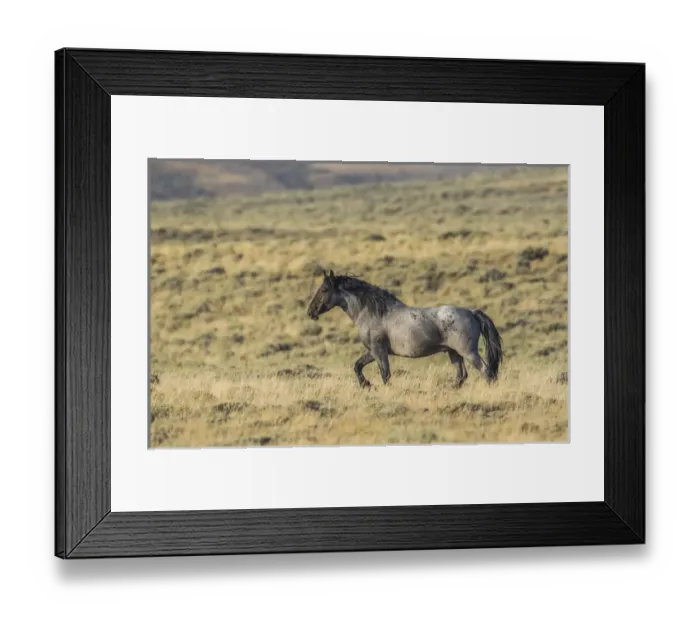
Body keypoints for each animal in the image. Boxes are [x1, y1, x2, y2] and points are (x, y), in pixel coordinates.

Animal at [306, 270, 503, 389]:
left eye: (324, 289)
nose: (310, 312)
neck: (374, 313)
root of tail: (472, 312)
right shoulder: (373, 352)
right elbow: (357, 366)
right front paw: (366, 384)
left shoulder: (379, 351)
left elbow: (385, 375)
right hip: (453, 353)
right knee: (461, 376)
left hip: (468, 352)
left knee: (486, 373)